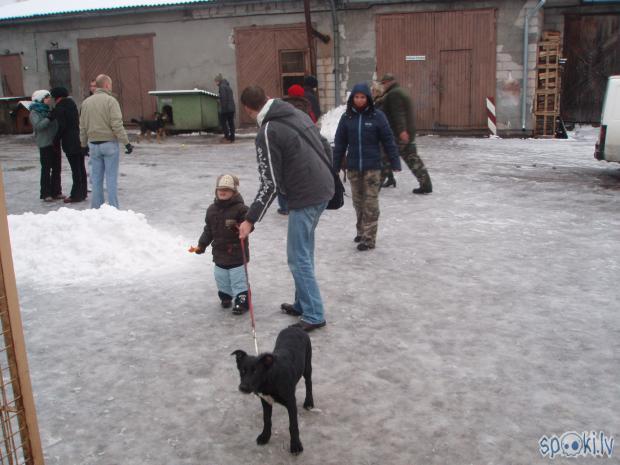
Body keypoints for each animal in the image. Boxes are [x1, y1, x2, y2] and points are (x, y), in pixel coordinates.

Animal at [230, 326, 312, 454]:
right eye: (242, 370)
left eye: (255, 371)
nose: (243, 387)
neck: (270, 379)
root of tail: (294, 327)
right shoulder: (265, 400)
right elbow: (267, 420)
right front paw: (265, 437)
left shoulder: (291, 402)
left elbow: (293, 425)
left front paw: (296, 445)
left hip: (307, 363)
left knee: (308, 383)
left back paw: (309, 402)